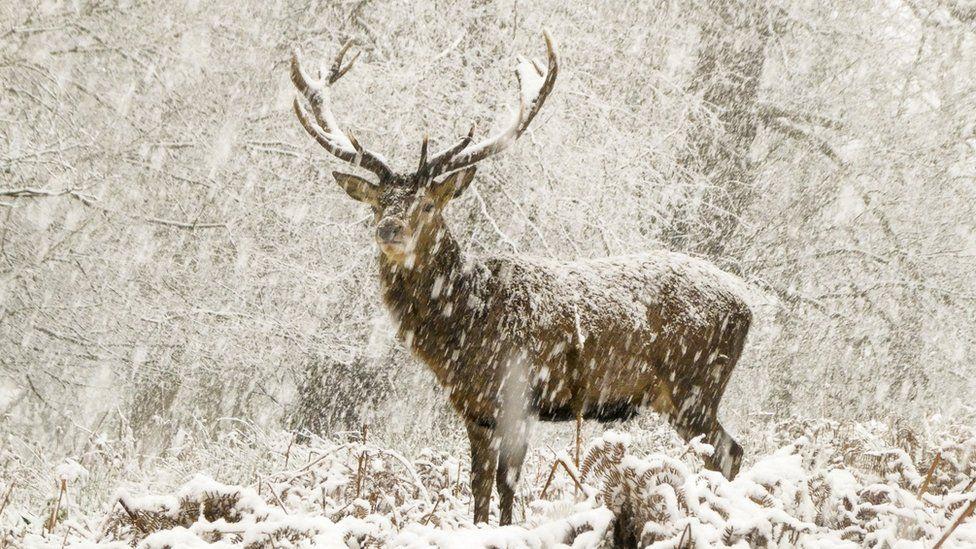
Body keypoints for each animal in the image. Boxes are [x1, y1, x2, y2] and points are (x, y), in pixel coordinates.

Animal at [290, 32, 752, 526]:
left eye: (429, 204)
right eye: (378, 203)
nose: (389, 228)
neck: (463, 326)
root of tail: (748, 305)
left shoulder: (518, 394)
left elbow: (509, 483)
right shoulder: (476, 409)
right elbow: (478, 485)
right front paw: (478, 528)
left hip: (695, 384)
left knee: (726, 451)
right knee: (728, 449)